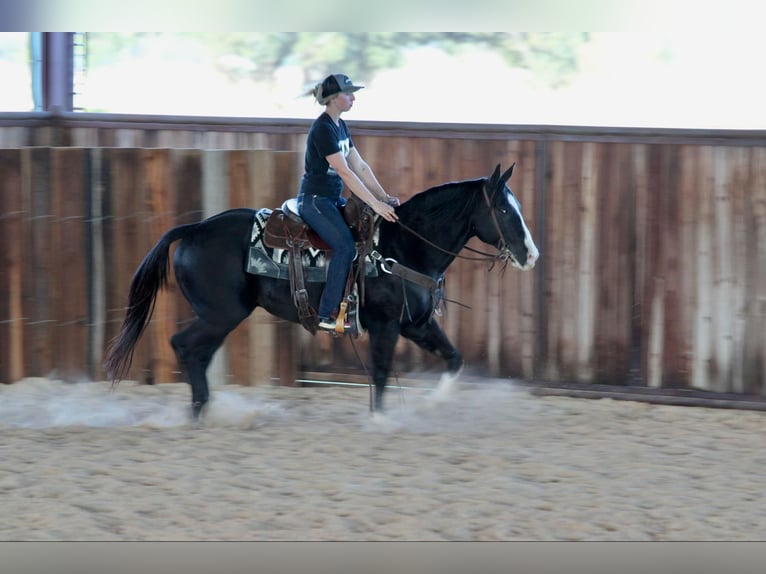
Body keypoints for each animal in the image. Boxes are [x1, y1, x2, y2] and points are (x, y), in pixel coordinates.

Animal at [103, 163, 539, 419]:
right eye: (504, 210)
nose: (531, 254)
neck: (403, 247)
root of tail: (194, 229)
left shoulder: (416, 324)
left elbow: (454, 358)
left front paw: (433, 402)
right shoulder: (386, 326)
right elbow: (382, 373)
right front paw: (380, 420)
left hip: (220, 317)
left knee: (198, 353)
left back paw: (204, 409)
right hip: (221, 313)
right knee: (185, 345)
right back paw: (198, 409)